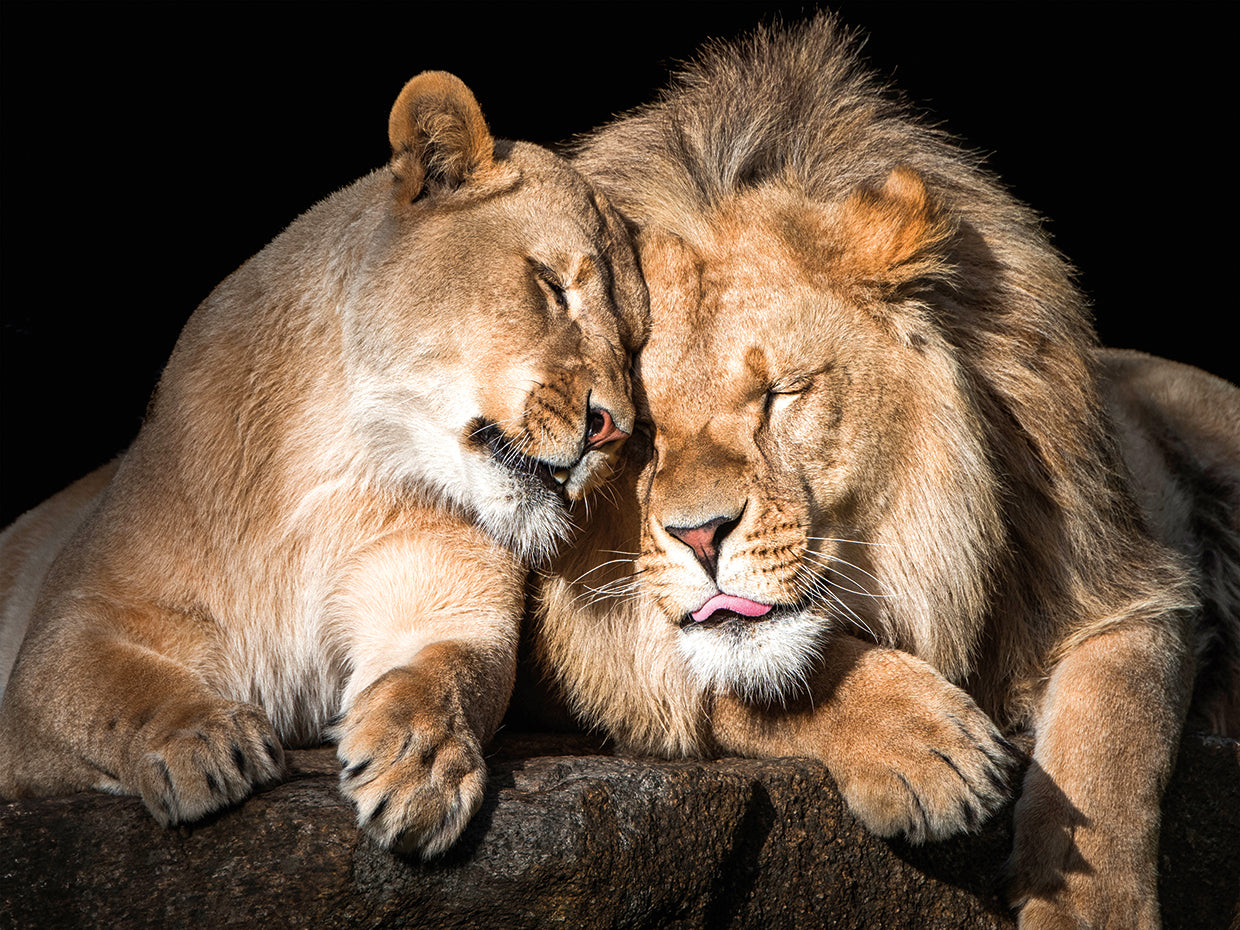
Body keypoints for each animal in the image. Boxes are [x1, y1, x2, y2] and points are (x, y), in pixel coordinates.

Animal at [0, 70, 648, 857]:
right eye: (553, 285)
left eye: (636, 345)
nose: (613, 429)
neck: (337, 467)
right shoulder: (70, 629)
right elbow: (113, 686)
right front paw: (201, 742)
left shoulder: (447, 603)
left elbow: (447, 674)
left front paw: (421, 765)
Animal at [526, 16, 1240, 929]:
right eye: (637, 428)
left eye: (782, 393)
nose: (699, 536)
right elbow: (735, 677)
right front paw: (922, 746)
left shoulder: (1127, 581)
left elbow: (1113, 737)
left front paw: (1089, 910)